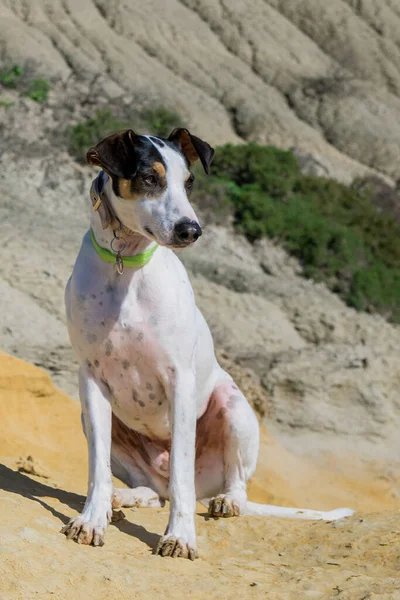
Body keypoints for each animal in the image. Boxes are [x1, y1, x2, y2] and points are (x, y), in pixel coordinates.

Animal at [62, 126, 354, 556]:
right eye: (149, 178)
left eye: (189, 182)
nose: (191, 230)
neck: (126, 266)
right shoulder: (92, 379)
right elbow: (98, 468)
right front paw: (92, 518)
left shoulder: (179, 379)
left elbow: (182, 470)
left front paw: (180, 536)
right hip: (100, 423)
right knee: (153, 491)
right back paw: (125, 497)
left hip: (234, 410)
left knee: (228, 486)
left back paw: (226, 501)